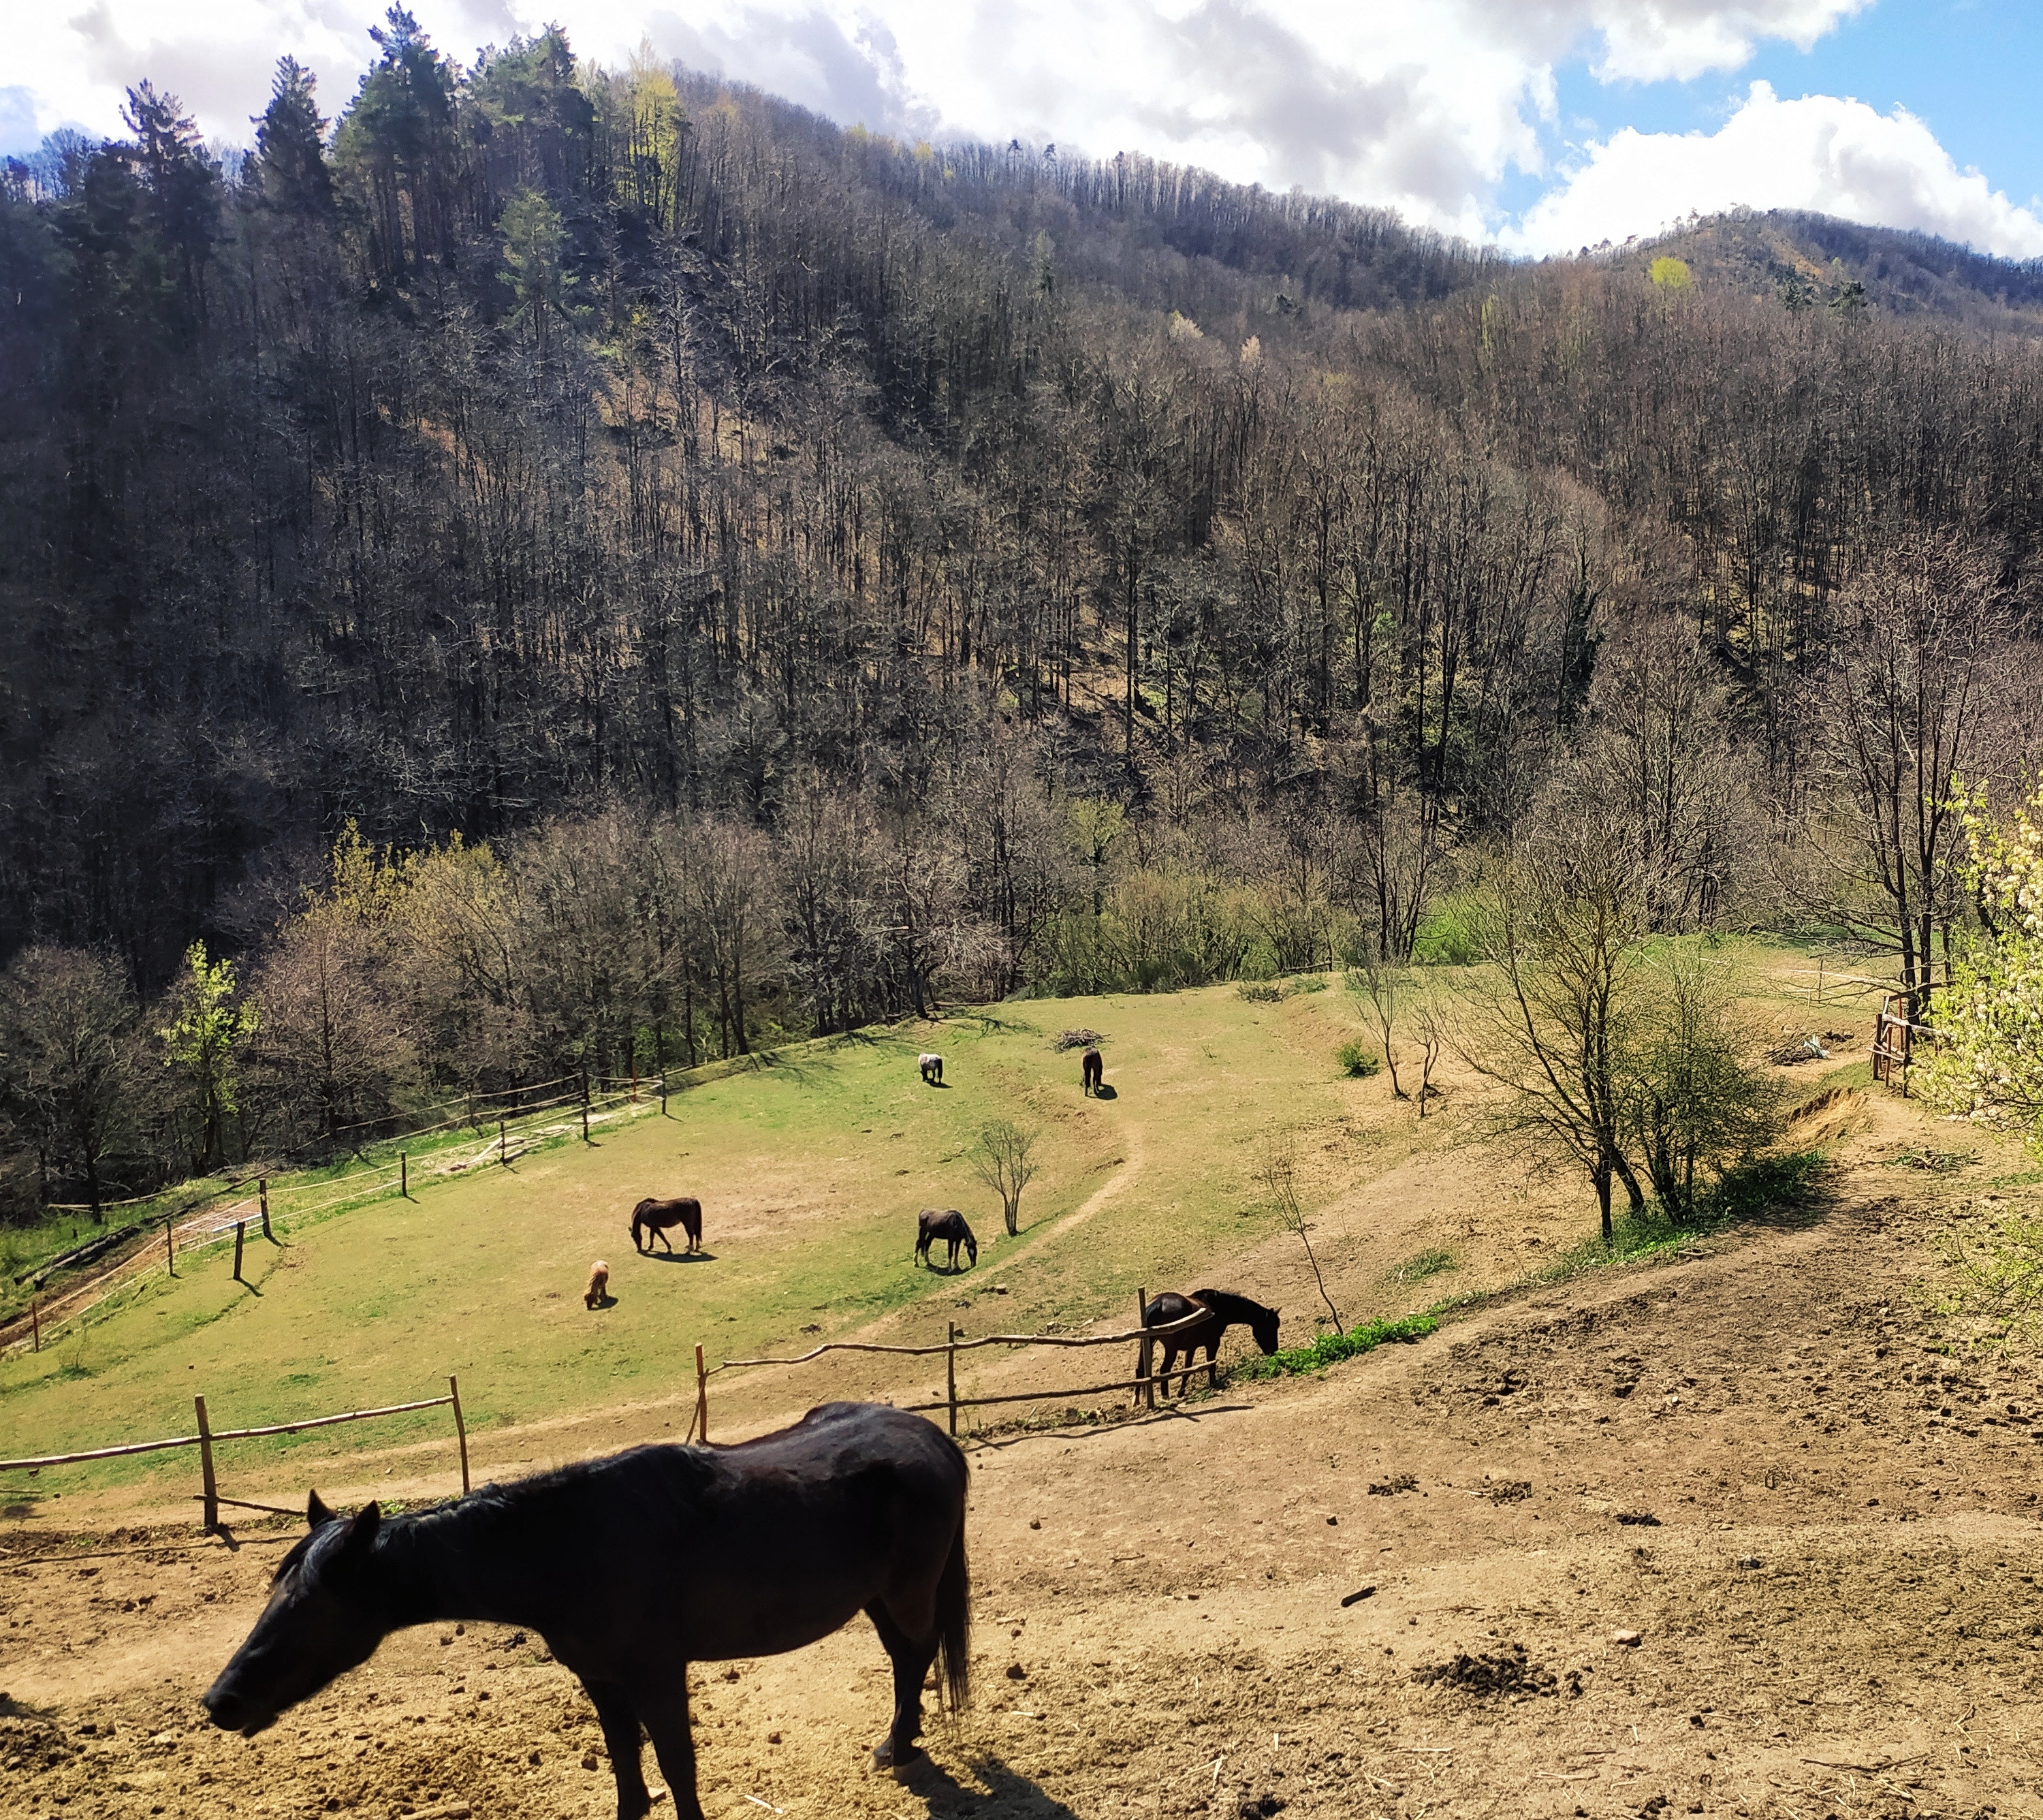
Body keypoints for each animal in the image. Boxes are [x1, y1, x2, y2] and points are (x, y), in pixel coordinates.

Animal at [203, 1405, 968, 1820]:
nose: (221, 1701)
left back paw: (899, 1745)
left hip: (906, 1590)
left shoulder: (658, 1673)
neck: (570, 1547)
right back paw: (902, 1739)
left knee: (915, 1654)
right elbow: (626, 1762)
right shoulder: (600, 1678)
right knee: (906, 1655)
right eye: (273, 1594)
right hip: (874, 1596)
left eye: (310, 1605)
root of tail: (933, 1437)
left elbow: (677, 1765)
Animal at [1152, 1291, 1275, 1389]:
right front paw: (1213, 1383)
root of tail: (1159, 1303)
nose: (1274, 1352)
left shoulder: (1191, 1347)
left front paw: (1181, 1393)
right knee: (1164, 1370)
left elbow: (1187, 1370)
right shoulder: (1213, 1342)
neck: (1218, 1307)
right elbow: (1211, 1364)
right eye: (1270, 1327)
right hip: (1171, 1350)